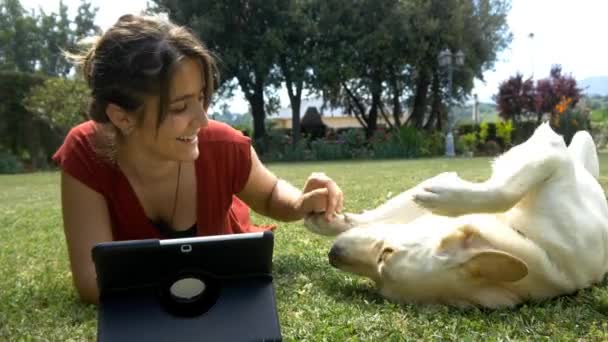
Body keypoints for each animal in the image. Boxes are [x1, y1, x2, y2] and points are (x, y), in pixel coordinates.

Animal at [306, 123, 608, 310]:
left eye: (385, 256)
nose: (333, 254)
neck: (523, 233)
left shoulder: (550, 155)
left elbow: (505, 189)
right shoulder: (550, 152)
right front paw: (331, 219)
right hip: (582, 139)